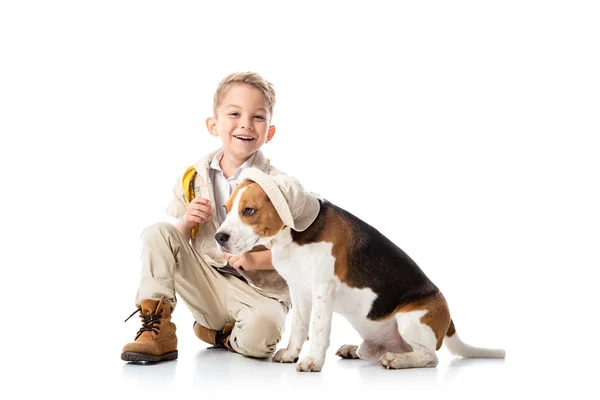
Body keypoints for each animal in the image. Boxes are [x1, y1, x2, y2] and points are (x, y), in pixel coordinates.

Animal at [213, 170, 504, 370]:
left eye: (249, 211)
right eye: (226, 208)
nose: (219, 237)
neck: (294, 236)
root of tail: (449, 322)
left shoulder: (322, 290)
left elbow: (318, 329)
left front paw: (312, 361)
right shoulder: (298, 290)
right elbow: (298, 327)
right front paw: (292, 353)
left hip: (411, 320)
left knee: (430, 357)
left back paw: (398, 360)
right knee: (375, 352)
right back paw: (356, 350)